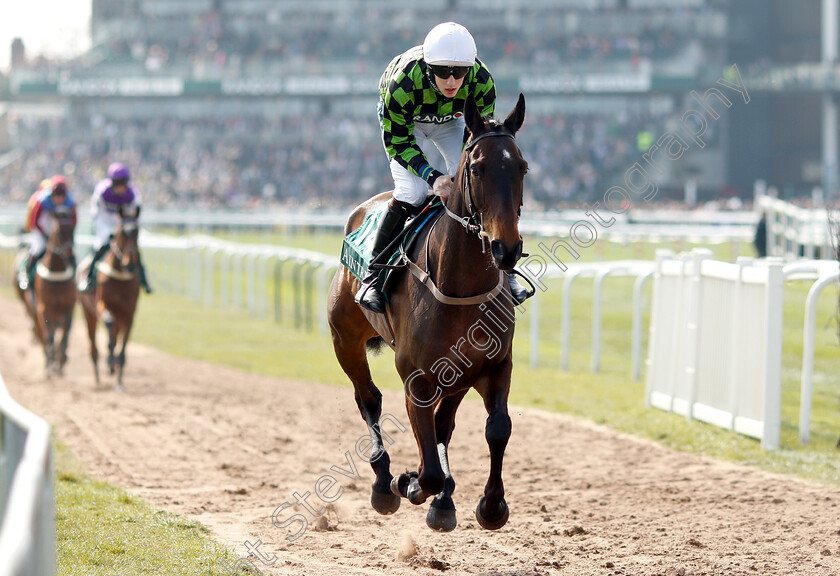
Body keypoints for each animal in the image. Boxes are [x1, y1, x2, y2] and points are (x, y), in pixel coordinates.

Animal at [15, 209, 77, 376]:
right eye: (59, 231)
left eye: (73, 230)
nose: (71, 257)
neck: (57, 271)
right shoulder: (44, 309)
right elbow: (48, 336)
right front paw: (51, 364)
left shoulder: (68, 308)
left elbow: (65, 335)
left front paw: (61, 360)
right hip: (33, 310)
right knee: (41, 333)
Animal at [77, 207, 141, 392]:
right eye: (121, 232)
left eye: (137, 232)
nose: (130, 264)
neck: (119, 276)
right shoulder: (102, 306)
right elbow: (109, 326)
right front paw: (110, 361)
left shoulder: (129, 314)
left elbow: (122, 349)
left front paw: (119, 381)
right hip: (88, 313)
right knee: (94, 347)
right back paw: (99, 378)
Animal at [326, 93, 524, 532]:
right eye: (477, 168)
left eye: (521, 167)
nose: (506, 249)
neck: (460, 289)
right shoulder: (415, 378)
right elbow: (427, 465)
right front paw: (409, 482)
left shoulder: (490, 365)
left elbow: (497, 428)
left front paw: (491, 505)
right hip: (344, 340)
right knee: (368, 399)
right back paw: (383, 482)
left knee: (443, 424)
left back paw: (444, 499)